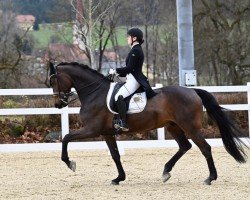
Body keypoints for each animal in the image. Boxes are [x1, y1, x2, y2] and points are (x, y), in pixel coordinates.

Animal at [47, 61, 247, 185]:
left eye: (54, 80)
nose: (58, 104)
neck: (94, 92)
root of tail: (193, 91)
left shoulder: (92, 130)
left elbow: (66, 137)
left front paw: (69, 163)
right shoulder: (106, 133)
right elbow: (115, 155)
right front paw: (119, 178)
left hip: (190, 126)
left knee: (204, 147)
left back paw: (210, 178)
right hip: (172, 126)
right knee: (185, 146)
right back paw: (166, 171)